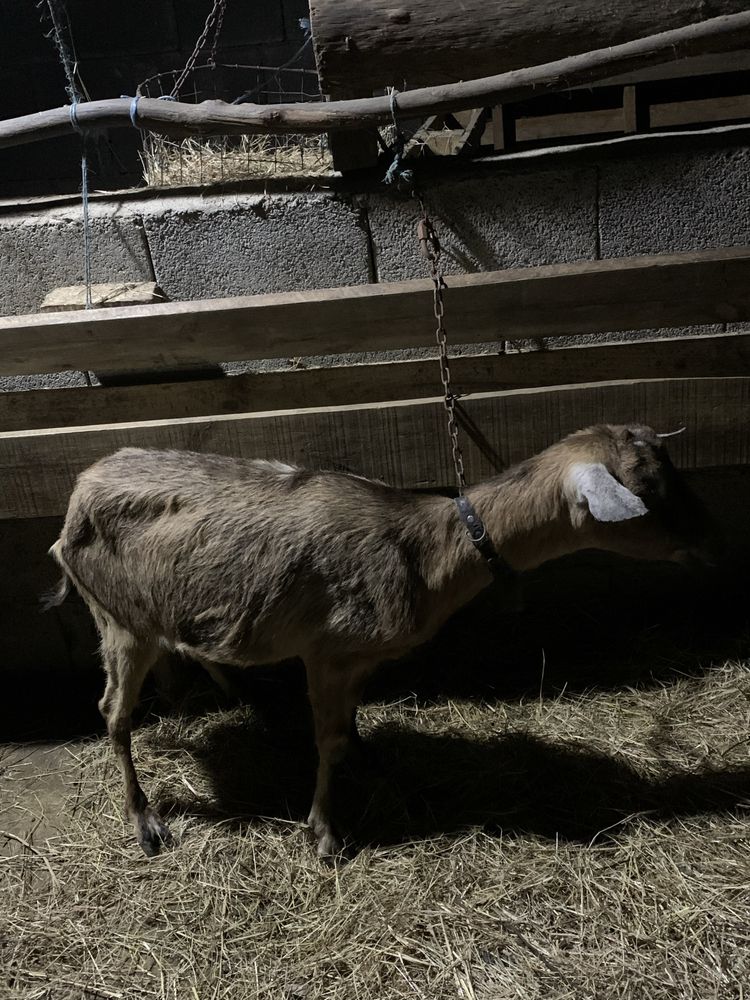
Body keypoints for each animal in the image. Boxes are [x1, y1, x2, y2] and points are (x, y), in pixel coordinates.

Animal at [48, 424, 716, 860]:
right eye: (649, 490)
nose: (707, 540)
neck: (428, 548)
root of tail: (75, 496)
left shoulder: (360, 659)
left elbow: (350, 732)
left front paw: (375, 767)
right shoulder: (326, 652)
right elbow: (328, 741)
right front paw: (324, 835)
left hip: (150, 614)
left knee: (170, 659)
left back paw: (220, 693)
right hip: (117, 616)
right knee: (113, 713)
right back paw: (146, 822)